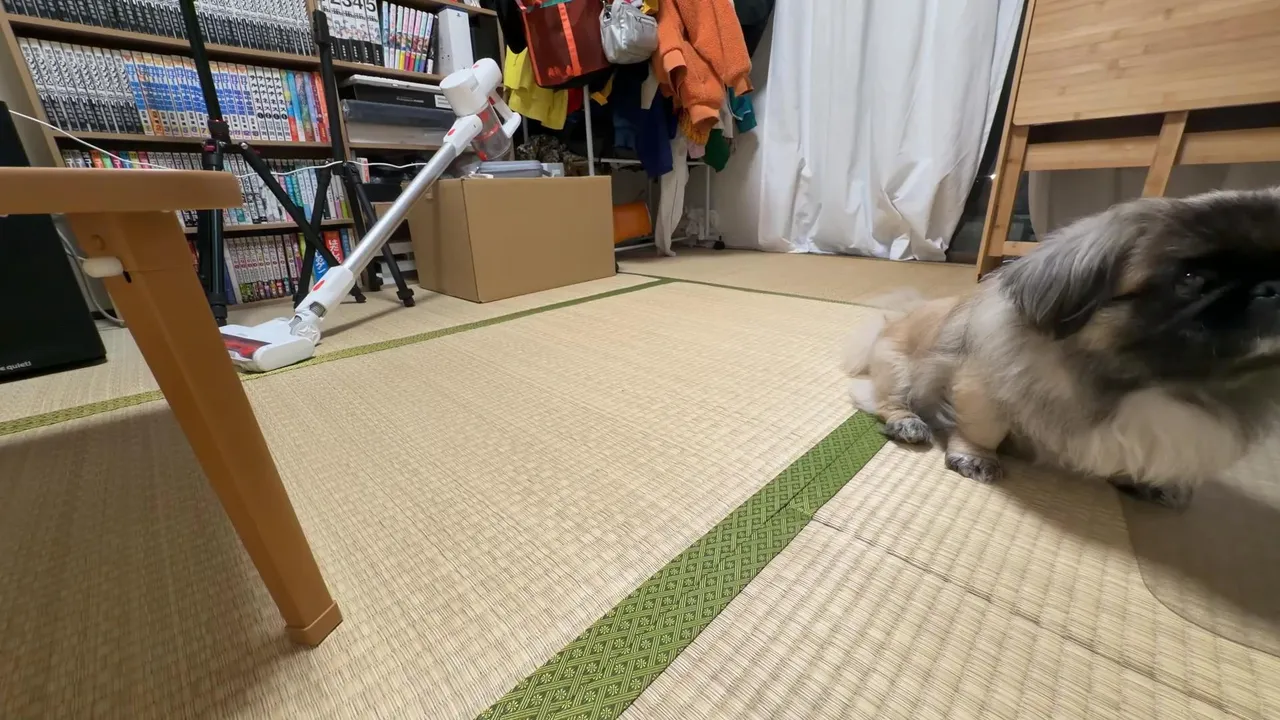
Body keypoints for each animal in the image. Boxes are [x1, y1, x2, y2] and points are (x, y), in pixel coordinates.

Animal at [845, 188, 1280, 506]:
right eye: (1191, 279)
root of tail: (889, 323)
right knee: (885, 400)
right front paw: (975, 459)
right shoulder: (984, 388)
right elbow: (982, 429)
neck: (1142, 382)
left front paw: (1144, 482)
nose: (1269, 287)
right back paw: (908, 423)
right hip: (899, 371)